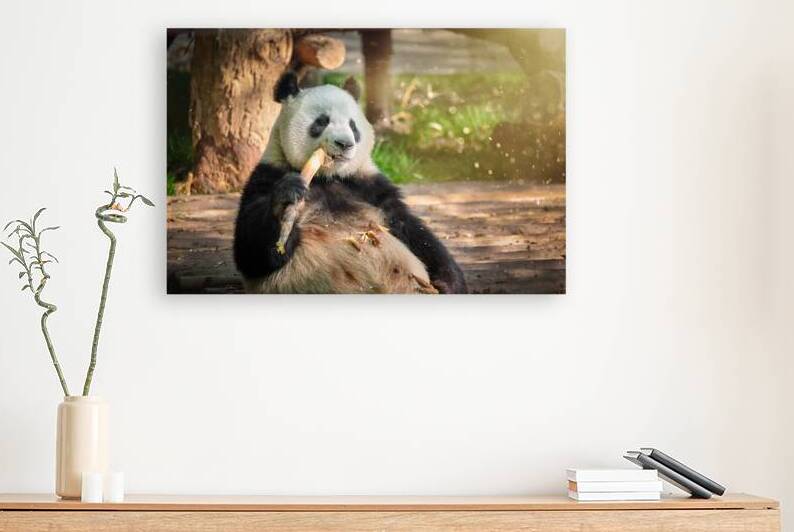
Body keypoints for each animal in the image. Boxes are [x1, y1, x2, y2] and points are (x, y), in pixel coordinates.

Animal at [233, 72, 467, 294]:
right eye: (321, 122)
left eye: (353, 126)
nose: (344, 144)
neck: (327, 176)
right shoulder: (267, 176)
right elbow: (252, 254)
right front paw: (286, 201)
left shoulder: (368, 186)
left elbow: (412, 230)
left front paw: (450, 283)